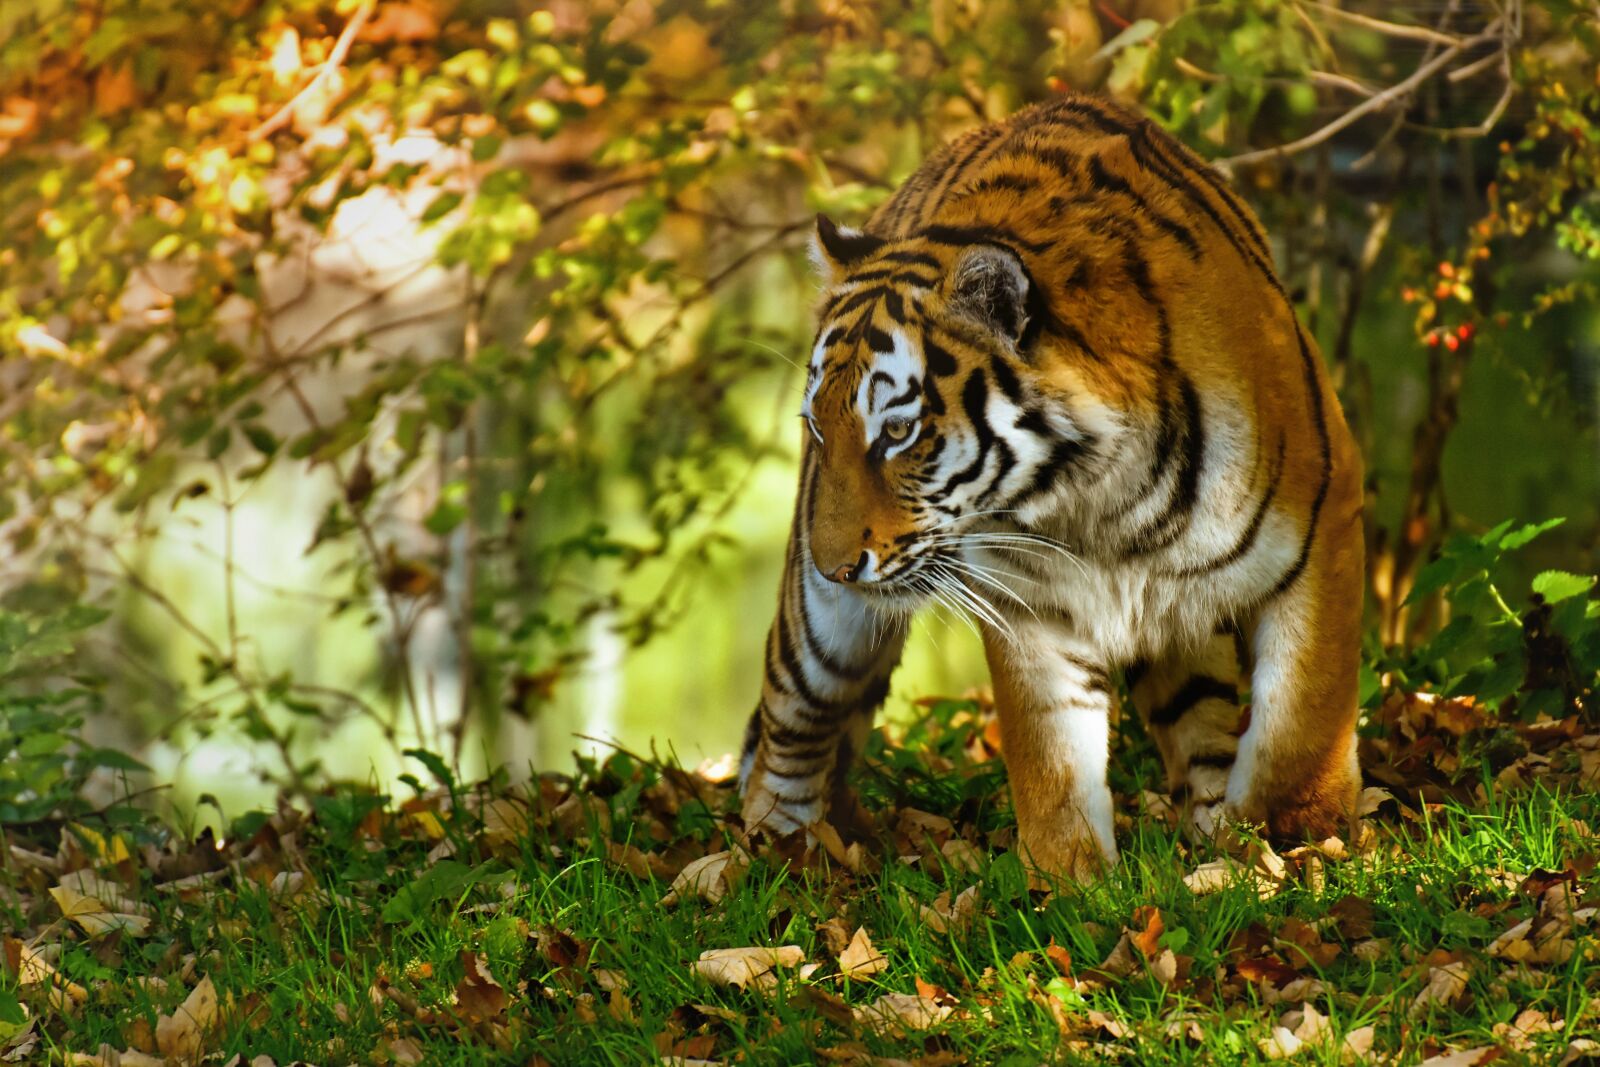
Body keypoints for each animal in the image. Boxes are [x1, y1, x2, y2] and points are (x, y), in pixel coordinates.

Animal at [737, 90, 1364, 881]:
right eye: (819, 427)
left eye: (897, 432)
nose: (835, 566)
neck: (1101, 499)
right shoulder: (1027, 603)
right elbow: (1053, 760)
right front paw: (1073, 883)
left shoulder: (1324, 524)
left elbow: (1303, 720)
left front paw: (1295, 837)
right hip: (820, 634)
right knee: (789, 725)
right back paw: (772, 857)